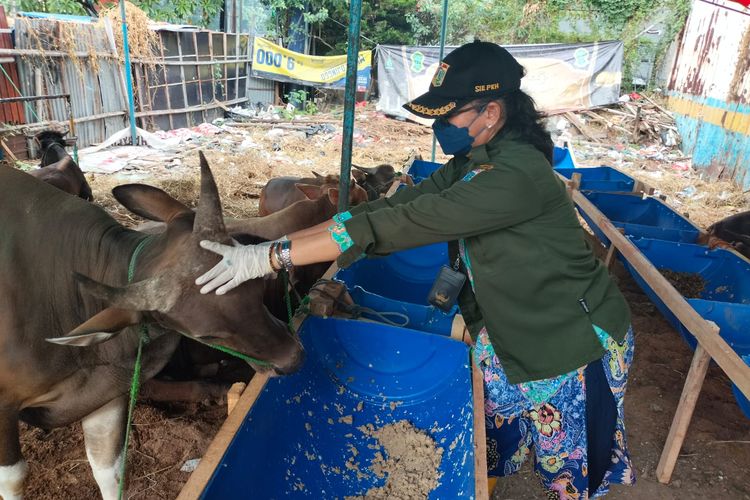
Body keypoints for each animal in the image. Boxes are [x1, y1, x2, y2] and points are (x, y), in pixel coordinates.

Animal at [0, 152, 302, 500]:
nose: (294, 358)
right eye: (206, 334)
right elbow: (13, 480)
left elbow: (108, 467)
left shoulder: (104, 394)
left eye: (256, 287)